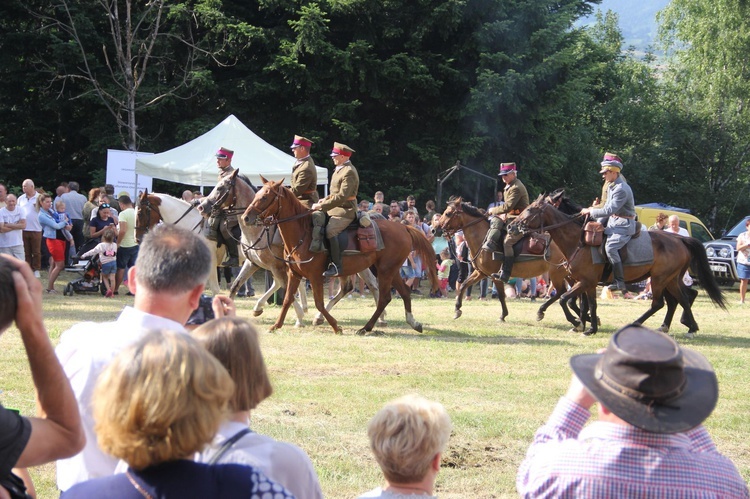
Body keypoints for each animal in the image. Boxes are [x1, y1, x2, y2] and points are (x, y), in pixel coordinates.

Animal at [198, 170, 388, 328]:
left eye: (220, 188)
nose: (202, 206)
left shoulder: (277, 266)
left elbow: (285, 287)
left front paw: (299, 316)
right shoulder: (254, 263)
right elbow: (236, 286)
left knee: (369, 285)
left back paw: (378, 317)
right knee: (353, 286)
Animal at [241, 176, 440, 336]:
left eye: (265, 197)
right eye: (257, 195)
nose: (246, 217)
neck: (303, 233)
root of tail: (403, 227)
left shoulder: (314, 276)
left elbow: (319, 303)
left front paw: (336, 326)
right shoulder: (294, 274)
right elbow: (288, 299)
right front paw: (276, 325)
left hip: (384, 270)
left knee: (383, 297)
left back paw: (367, 327)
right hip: (390, 269)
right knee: (403, 292)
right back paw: (413, 322)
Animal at [438, 197, 584, 330]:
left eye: (448, 213)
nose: (436, 229)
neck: (483, 239)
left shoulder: (494, 276)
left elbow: (501, 296)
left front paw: (503, 315)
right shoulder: (480, 273)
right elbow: (463, 285)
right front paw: (457, 309)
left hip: (556, 274)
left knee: (562, 292)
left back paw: (554, 314)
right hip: (567, 275)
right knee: (573, 294)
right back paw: (581, 317)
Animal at [508, 194, 724, 336]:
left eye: (531, 209)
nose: (511, 226)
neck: (578, 241)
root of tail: (680, 239)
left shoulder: (583, 281)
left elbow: (564, 300)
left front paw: (578, 323)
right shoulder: (585, 283)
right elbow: (587, 304)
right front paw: (589, 326)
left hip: (659, 279)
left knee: (661, 303)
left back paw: (639, 323)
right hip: (670, 279)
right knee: (682, 299)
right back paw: (685, 326)